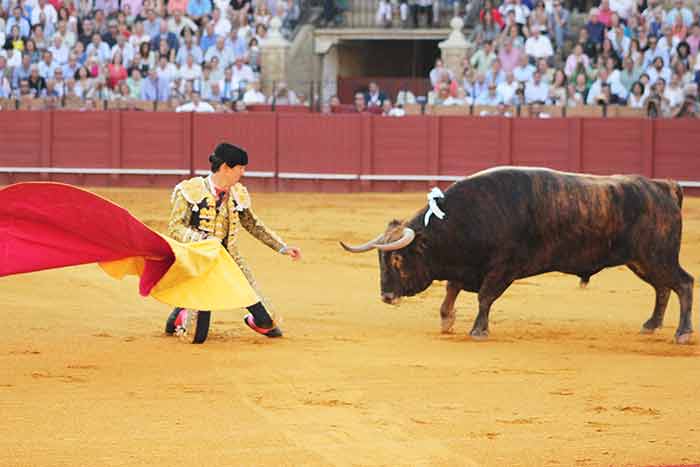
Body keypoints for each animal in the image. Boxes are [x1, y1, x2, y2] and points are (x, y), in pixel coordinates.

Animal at [340, 168, 696, 344]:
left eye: (398, 260)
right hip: (643, 261)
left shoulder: (503, 267)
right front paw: (446, 321)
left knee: (683, 284)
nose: (386, 296)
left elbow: (484, 297)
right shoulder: (465, 267)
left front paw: (478, 331)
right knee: (663, 288)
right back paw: (651, 325)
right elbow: (451, 291)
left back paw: (682, 333)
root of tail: (663, 187)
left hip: (657, 256)